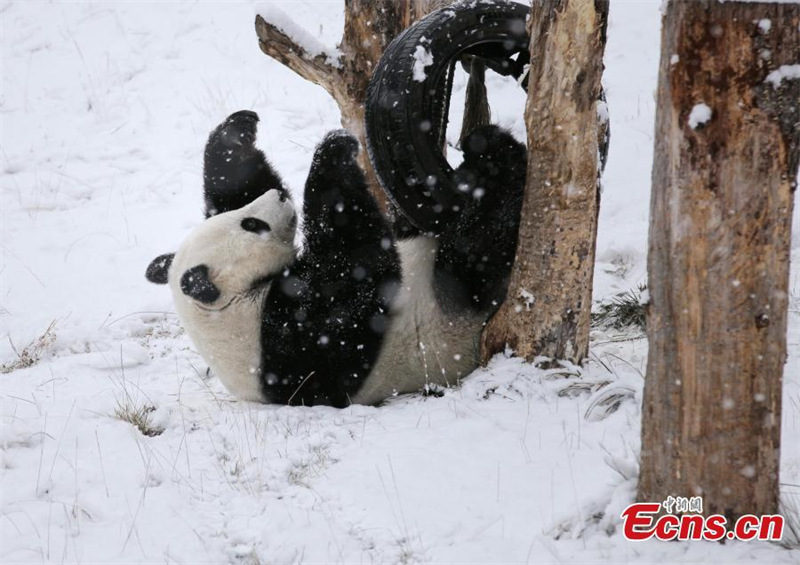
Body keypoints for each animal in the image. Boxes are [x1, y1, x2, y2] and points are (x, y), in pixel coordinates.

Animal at [146, 110, 526, 407]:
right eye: (251, 224)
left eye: (244, 216)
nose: (279, 197)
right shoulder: (290, 346)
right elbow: (357, 270)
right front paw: (334, 150)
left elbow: (233, 185)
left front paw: (237, 132)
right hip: (452, 311)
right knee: (476, 249)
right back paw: (495, 156)